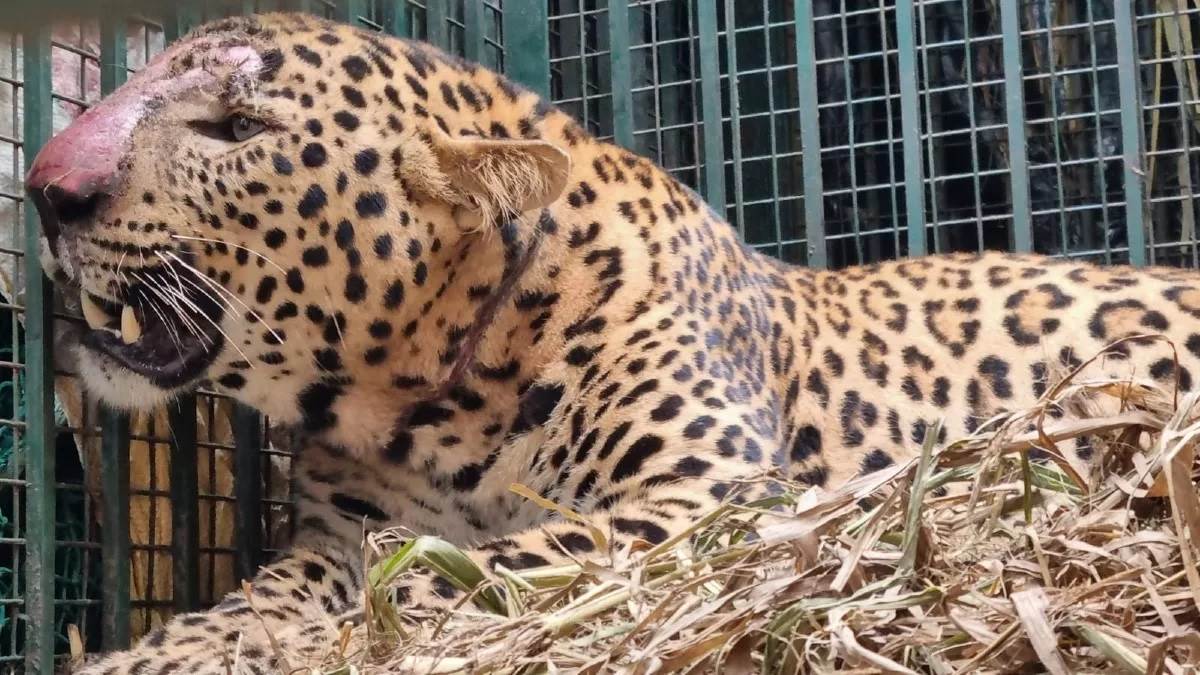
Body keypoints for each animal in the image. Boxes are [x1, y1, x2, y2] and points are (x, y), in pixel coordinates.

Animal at [24, 11, 1200, 673]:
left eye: (239, 131)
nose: (44, 187)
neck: (421, 403)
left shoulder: (709, 502)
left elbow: (456, 574)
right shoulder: (333, 535)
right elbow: (295, 587)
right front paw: (162, 653)